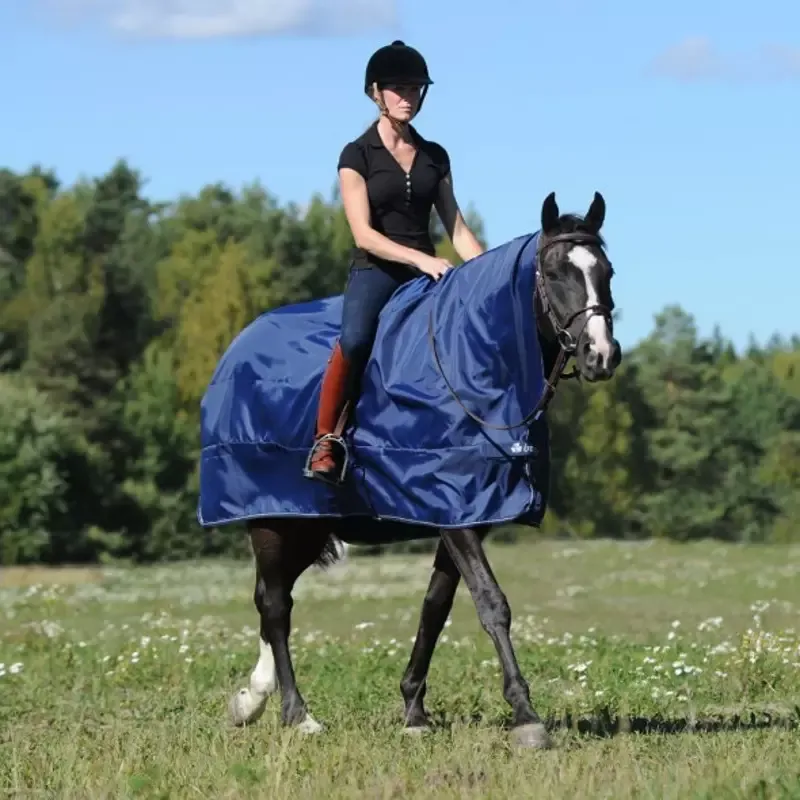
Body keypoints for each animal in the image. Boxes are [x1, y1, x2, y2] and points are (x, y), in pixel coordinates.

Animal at [202, 191, 621, 751]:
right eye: (555, 272)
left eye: (607, 272)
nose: (602, 355)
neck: (471, 362)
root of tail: (237, 350)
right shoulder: (455, 513)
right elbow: (492, 603)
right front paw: (526, 715)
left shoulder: (464, 515)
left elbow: (435, 607)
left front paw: (414, 709)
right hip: (271, 520)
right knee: (275, 607)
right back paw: (296, 712)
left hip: (305, 526)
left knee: (271, 599)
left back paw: (252, 698)